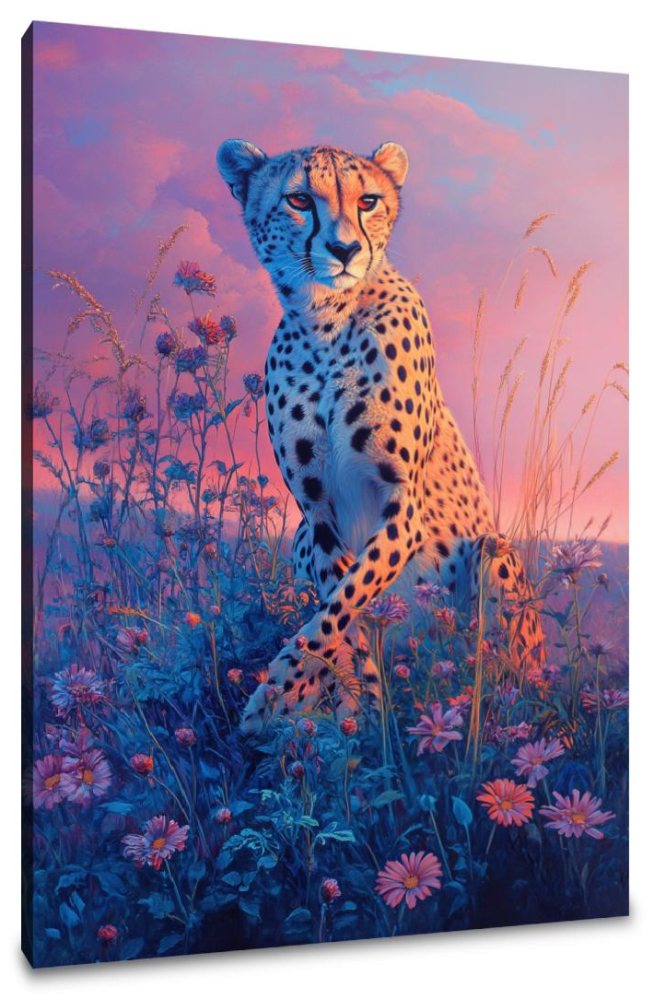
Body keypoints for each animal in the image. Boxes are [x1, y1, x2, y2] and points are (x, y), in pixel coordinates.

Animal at [217, 138, 545, 734]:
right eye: (299, 199)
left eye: (367, 200)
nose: (345, 249)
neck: (325, 320)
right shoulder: (317, 514)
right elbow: (343, 616)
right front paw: (358, 709)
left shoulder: (402, 506)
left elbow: (344, 606)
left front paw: (274, 694)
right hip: (301, 538)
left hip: (494, 558)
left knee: (506, 677)